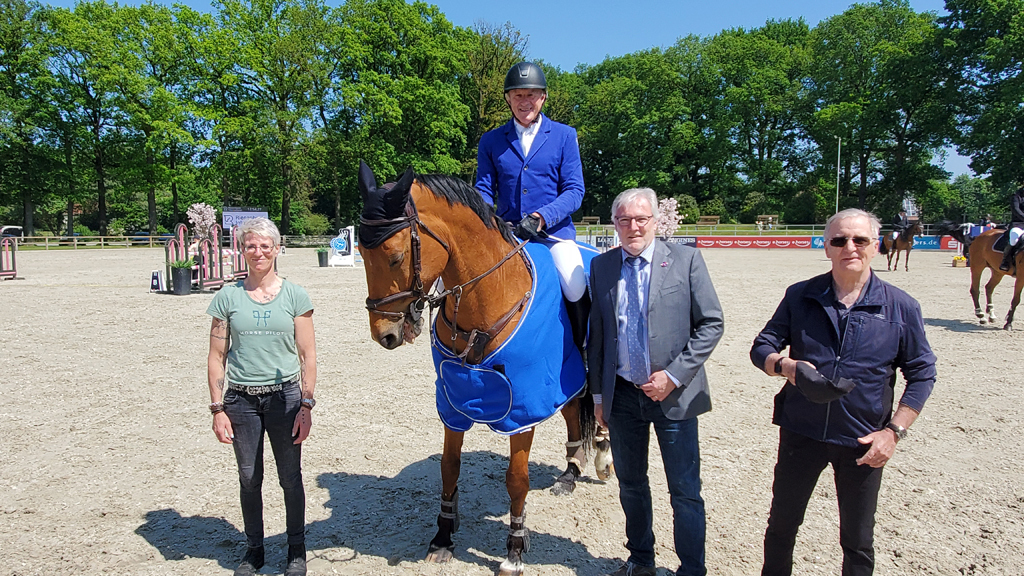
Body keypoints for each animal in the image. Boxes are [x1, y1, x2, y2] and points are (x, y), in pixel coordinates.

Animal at [355, 161, 611, 575]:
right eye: (361, 254)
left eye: (394, 257)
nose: (386, 335)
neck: (483, 303)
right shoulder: (453, 399)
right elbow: (449, 466)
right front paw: (443, 537)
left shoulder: (522, 406)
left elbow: (517, 479)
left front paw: (515, 550)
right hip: (564, 375)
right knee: (574, 410)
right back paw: (570, 473)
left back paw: (602, 457)